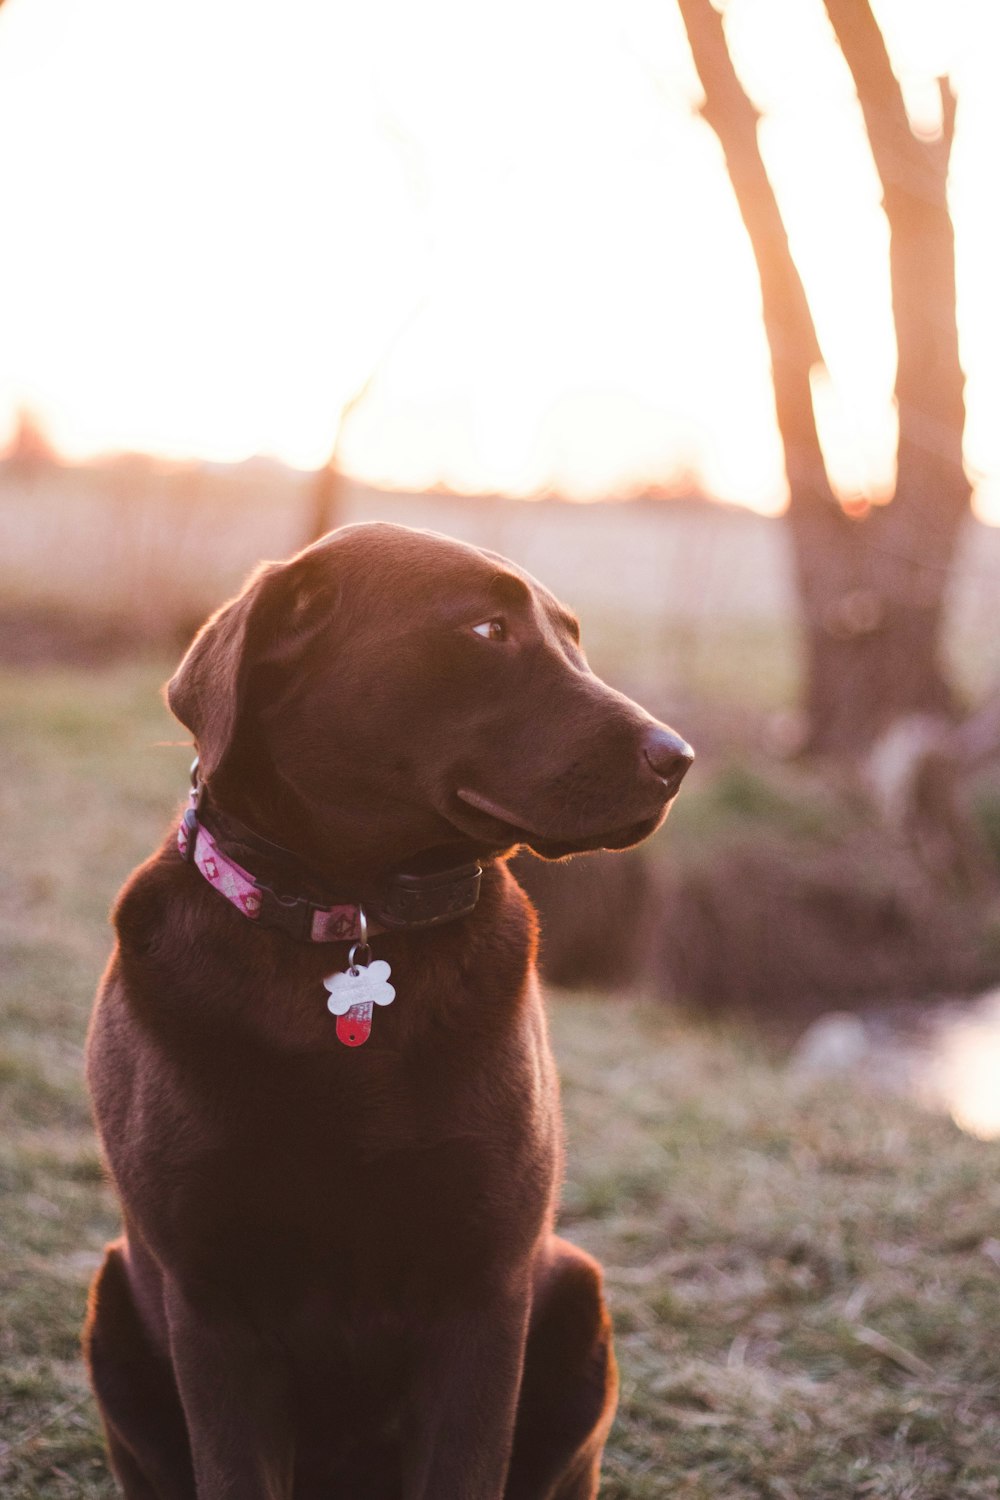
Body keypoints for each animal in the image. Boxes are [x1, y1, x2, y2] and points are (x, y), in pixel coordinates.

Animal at [82, 519, 692, 1500]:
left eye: (573, 638)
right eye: (486, 630)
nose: (679, 758)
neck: (353, 916)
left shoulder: (485, 1288)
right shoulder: (211, 1300)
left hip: (573, 1289)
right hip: (114, 1303)